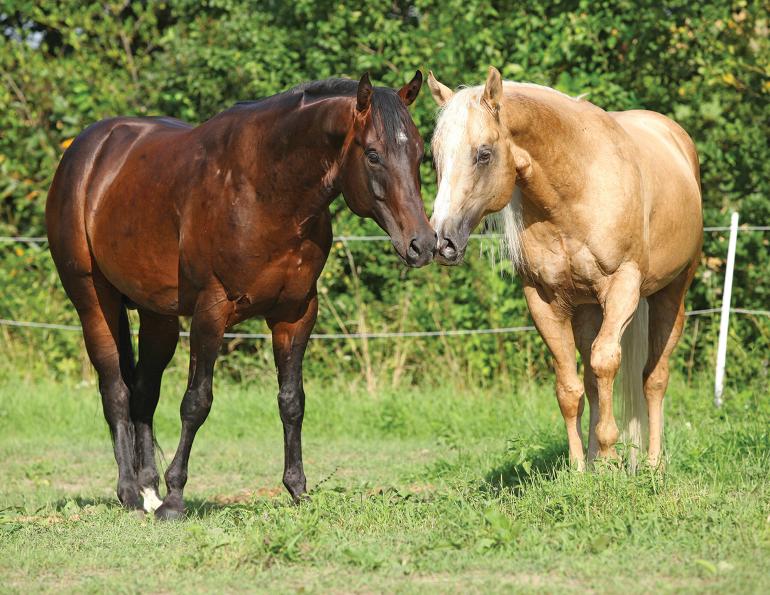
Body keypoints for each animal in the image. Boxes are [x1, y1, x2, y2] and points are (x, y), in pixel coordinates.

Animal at [46, 71, 435, 519]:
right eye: (372, 155)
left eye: (421, 153)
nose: (422, 244)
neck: (265, 189)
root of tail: (87, 151)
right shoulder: (211, 312)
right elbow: (196, 401)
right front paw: (175, 500)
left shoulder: (296, 314)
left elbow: (292, 400)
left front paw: (298, 490)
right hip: (94, 303)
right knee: (116, 392)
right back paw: (129, 493)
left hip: (157, 314)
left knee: (144, 392)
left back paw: (148, 490)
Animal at [427, 67, 702, 470]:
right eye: (435, 158)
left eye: (483, 154)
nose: (442, 242)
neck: (575, 187)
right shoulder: (543, 300)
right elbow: (569, 386)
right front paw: (579, 467)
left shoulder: (622, 287)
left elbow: (606, 363)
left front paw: (608, 455)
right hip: (588, 309)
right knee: (591, 382)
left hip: (671, 294)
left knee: (653, 377)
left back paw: (652, 464)